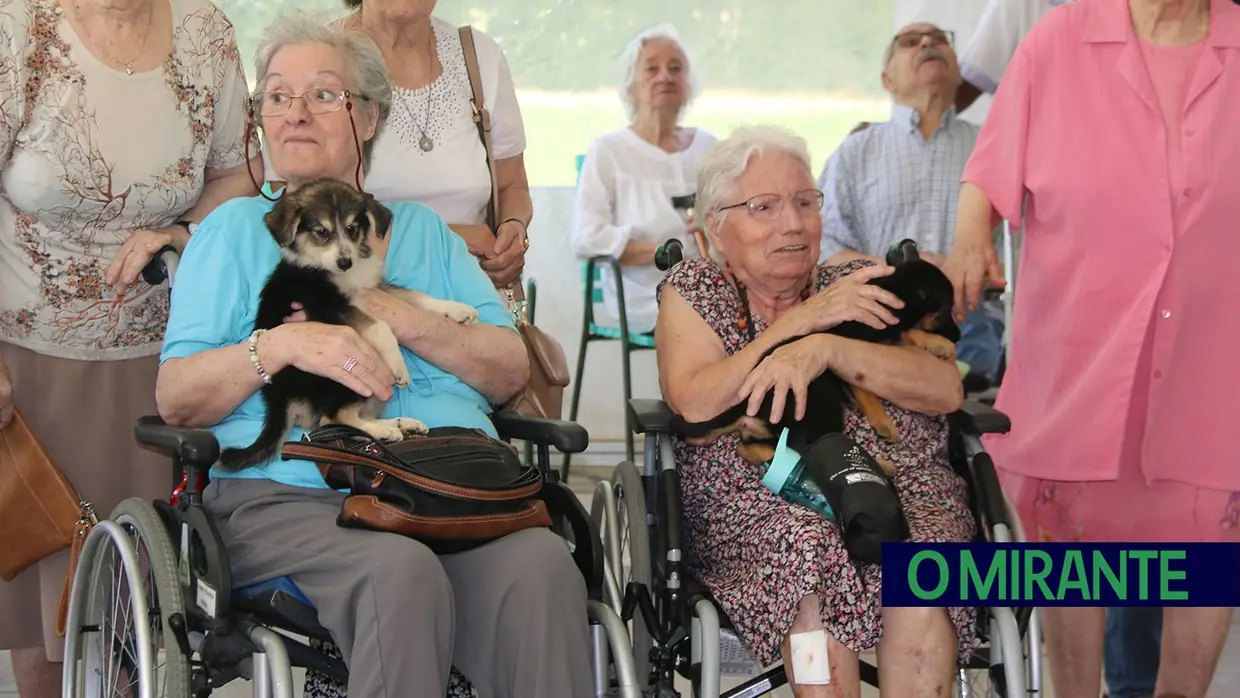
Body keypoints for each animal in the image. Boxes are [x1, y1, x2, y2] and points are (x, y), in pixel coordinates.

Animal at [218, 179, 478, 473]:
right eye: (321, 232)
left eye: (352, 229)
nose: (345, 262)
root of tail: (279, 398)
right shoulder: (329, 306)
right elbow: (380, 326)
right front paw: (399, 366)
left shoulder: (374, 288)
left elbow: (414, 296)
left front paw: (457, 310)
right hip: (343, 379)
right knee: (333, 420)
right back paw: (386, 431)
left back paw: (402, 425)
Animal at [669, 255, 957, 476]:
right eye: (946, 310)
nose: (958, 335)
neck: (892, 292)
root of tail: (745, 402)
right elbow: (901, 339)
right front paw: (940, 345)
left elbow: (902, 336)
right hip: (821, 408)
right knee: (810, 451)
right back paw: (881, 466)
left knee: (754, 447)